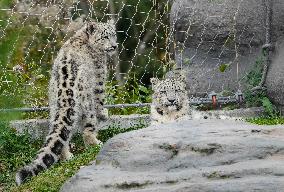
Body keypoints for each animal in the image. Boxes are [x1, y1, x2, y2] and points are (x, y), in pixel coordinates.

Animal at [15, 19, 117, 184]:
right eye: (104, 37)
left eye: (114, 35)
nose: (114, 46)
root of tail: (64, 93)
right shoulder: (100, 78)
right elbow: (101, 99)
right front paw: (104, 113)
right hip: (86, 104)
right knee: (87, 129)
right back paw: (96, 144)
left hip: (54, 109)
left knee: (62, 134)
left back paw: (67, 156)